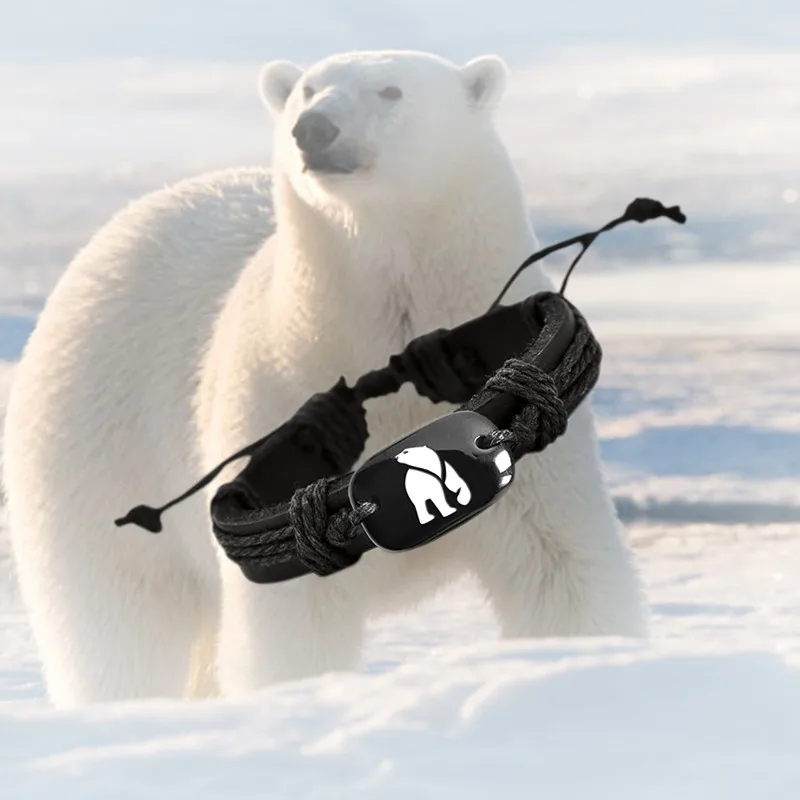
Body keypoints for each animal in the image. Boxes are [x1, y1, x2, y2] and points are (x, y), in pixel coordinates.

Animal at [2, 49, 648, 707]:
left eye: (391, 90)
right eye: (308, 89)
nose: (314, 128)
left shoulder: (531, 444)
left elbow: (561, 566)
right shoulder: (273, 388)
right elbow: (293, 616)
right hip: (97, 449)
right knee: (118, 625)